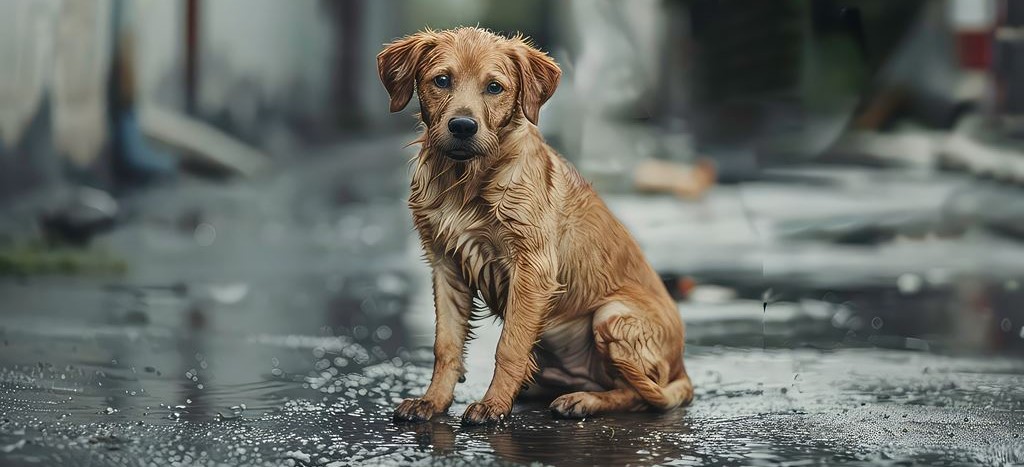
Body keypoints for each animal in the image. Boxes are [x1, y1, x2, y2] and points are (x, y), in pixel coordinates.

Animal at [378, 27, 696, 426]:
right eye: (442, 80)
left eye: (494, 87)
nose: (463, 126)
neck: (467, 181)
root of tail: (683, 370)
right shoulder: (445, 264)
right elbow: (446, 345)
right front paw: (433, 401)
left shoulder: (533, 267)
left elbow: (510, 346)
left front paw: (493, 406)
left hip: (611, 316)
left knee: (640, 395)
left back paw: (583, 400)